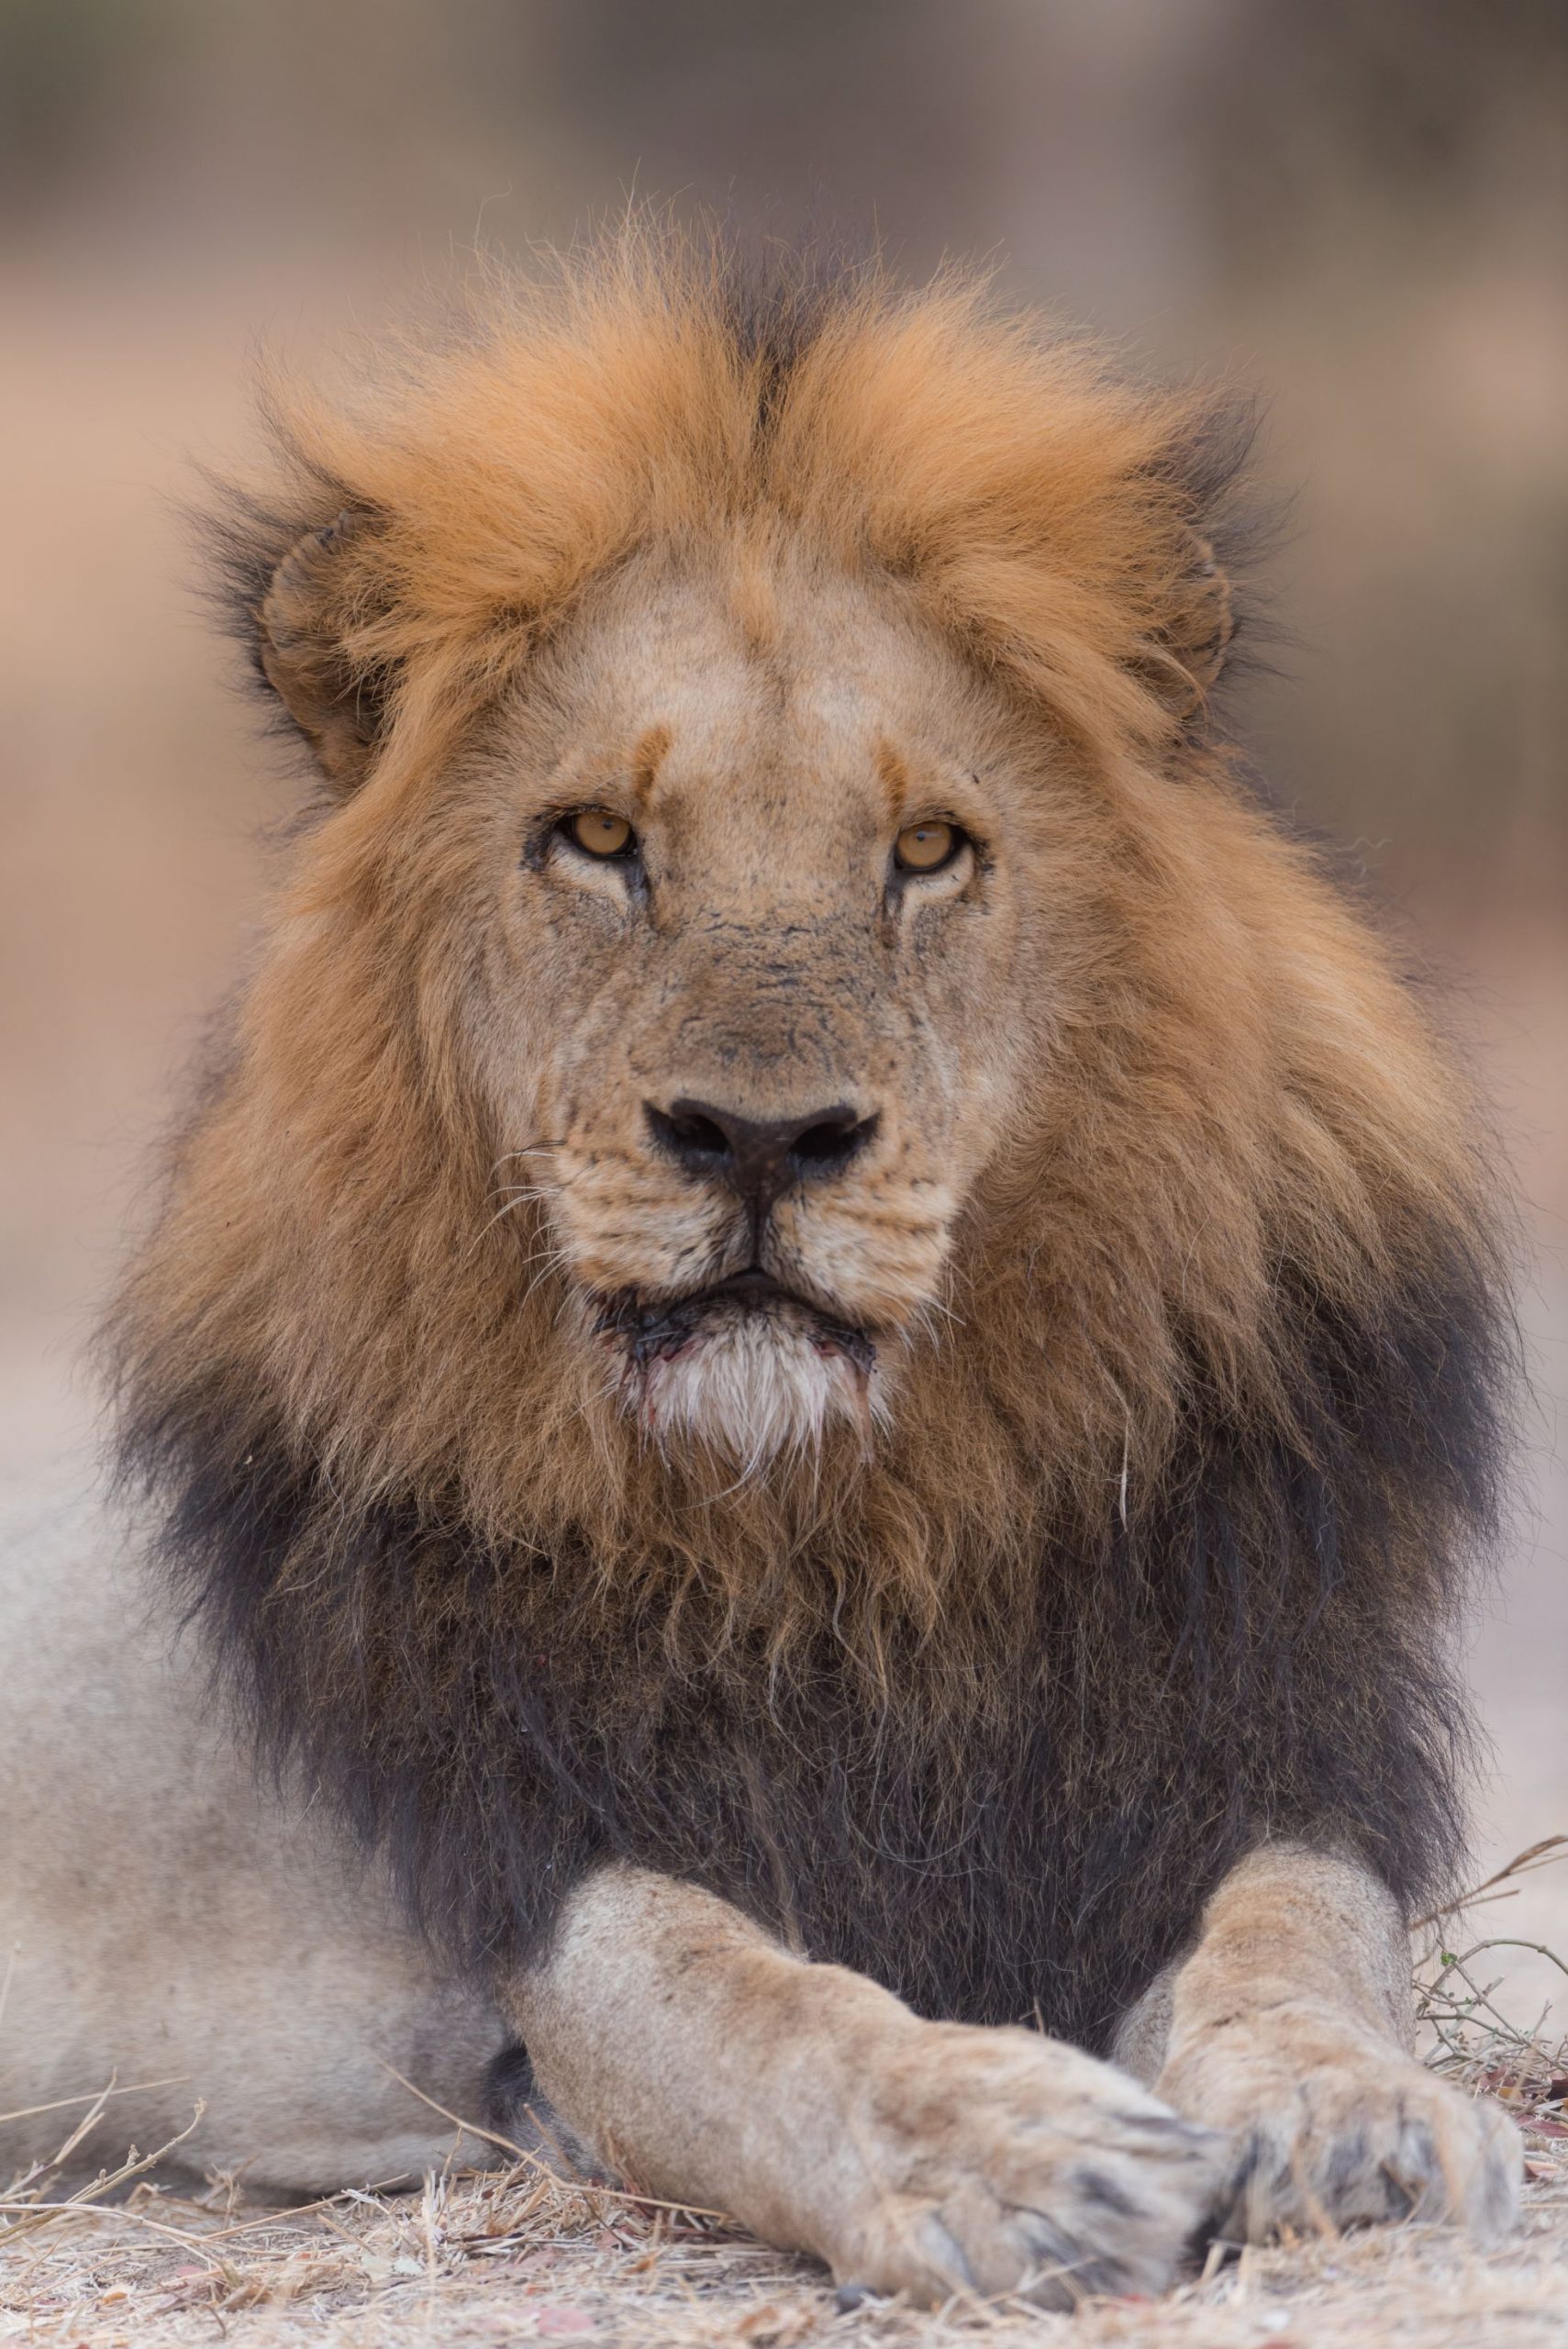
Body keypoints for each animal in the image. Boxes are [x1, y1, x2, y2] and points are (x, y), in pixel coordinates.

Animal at [0, 228, 1520, 2301]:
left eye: (929, 849)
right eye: (595, 838)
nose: (758, 1139)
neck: (849, 1539)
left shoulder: (1249, 1741)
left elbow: (1291, 1943)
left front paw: (1358, 2121)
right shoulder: (531, 1868)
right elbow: (751, 2007)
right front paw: (1016, 2150)